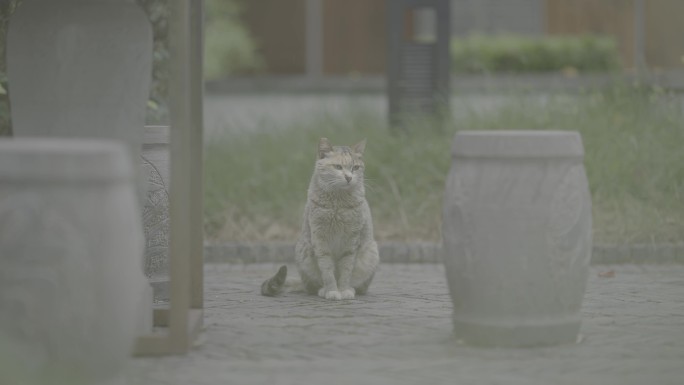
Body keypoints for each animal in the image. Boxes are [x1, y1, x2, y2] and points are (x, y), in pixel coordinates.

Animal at [260, 136, 380, 298]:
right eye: (338, 167)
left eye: (355, 168)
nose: (349, 177)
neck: (338, 203)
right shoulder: (320, 238)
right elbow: (327, 271)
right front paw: (332, 291)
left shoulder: (351, 240)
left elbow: (346, 269)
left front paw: (343, 290)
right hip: (303, 253)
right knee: (312, 287)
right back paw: (322, 290)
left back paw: (351, 288)